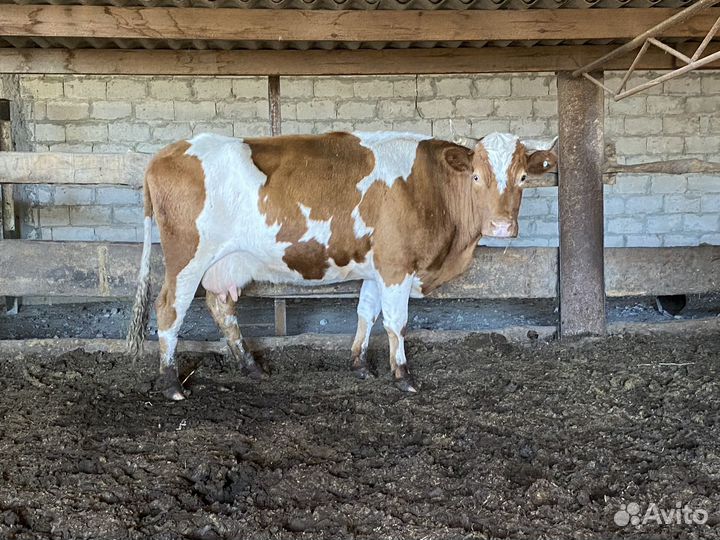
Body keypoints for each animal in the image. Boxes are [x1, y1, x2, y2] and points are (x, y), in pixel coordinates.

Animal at [126, 131, 557, 400]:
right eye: (477, 176)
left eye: (522, 177)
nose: (501, 226)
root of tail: (168, 152)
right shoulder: (397, 264)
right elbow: (395, 322)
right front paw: (402, 375)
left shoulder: (376, 267)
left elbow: (366, 312)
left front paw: (360, 365)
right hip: (187, 258)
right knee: (169, 310)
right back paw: (171, 384)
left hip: (225, 264)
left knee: (222, 308)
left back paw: (252, 367)